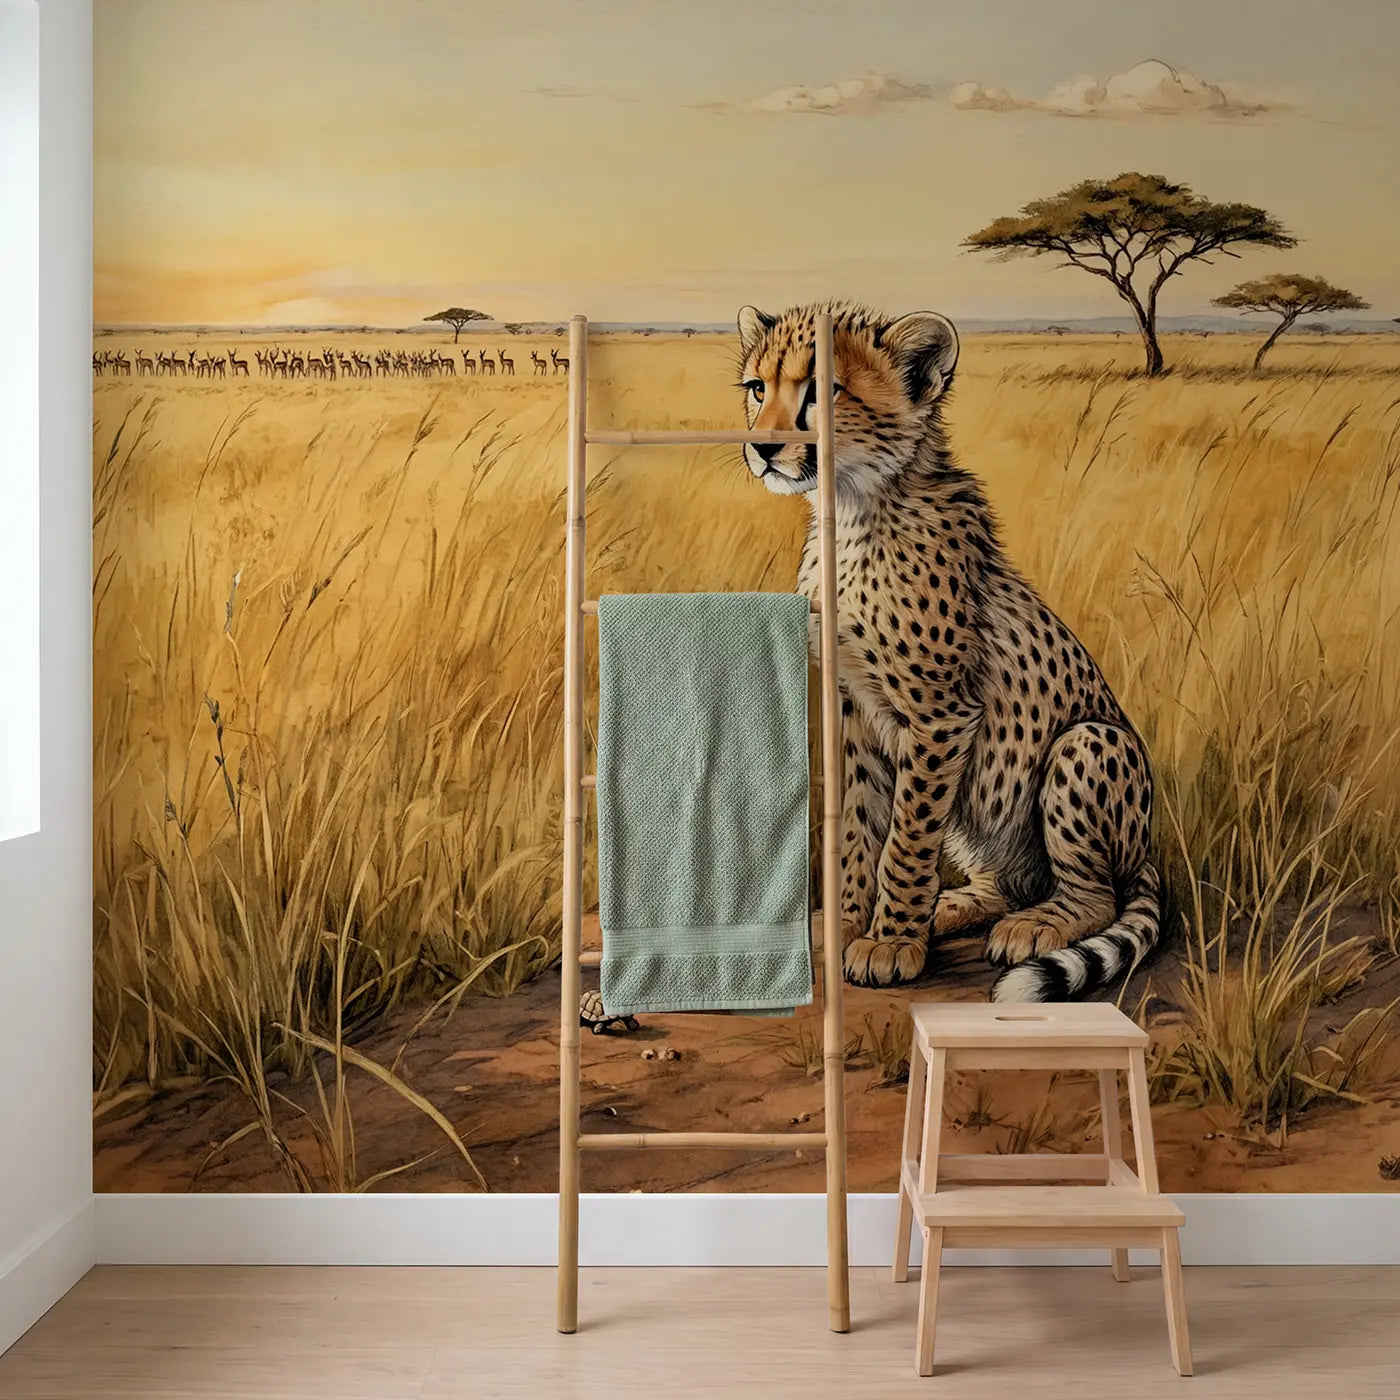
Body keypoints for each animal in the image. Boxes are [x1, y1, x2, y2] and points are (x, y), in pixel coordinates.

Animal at [736, 300, 1159, 1001]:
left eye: (823, 391)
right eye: (756, 388)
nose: (764, 448)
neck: (855, 507)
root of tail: (1147, 851)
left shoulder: (941, 716)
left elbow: (906, 837)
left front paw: (890, 943)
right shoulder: (853, 708)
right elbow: (859, 826)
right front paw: (847, 924)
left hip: (1088, 743)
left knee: (1096, 895)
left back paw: (1033, 925)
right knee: (1006, 881)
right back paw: (953, 905)